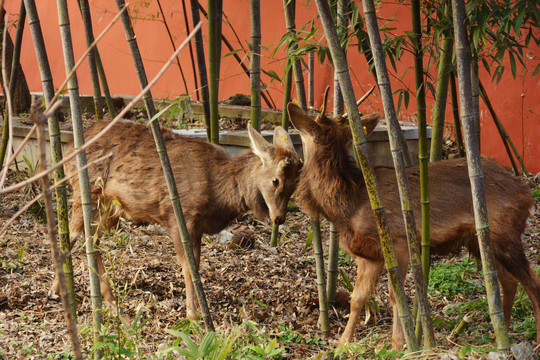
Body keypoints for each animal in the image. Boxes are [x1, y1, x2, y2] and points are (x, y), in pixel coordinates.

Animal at [63, 119, 302, 320]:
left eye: (294, 185)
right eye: (276, 180)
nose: (279, 218)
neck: (219, 190)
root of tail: (68, 153)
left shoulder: (197, 229)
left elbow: (196, 265)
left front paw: (196, 311)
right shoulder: (179, 218)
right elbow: (188, 268)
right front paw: (194, 316)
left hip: (110, 207)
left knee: (90, 239)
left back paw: (104, 299)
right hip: (88, 192)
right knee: (73, 233)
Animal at [284, 92, 536, 348]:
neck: (350, 205)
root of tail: (526, 193)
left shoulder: (399, 243)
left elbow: (396, 297)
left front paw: (400, 345)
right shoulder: (369, 255)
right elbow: (357, 299)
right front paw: (342, 344)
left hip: (504, 232)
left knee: (532, 282)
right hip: (480, 240)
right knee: (507, 281)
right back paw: (500, 334)